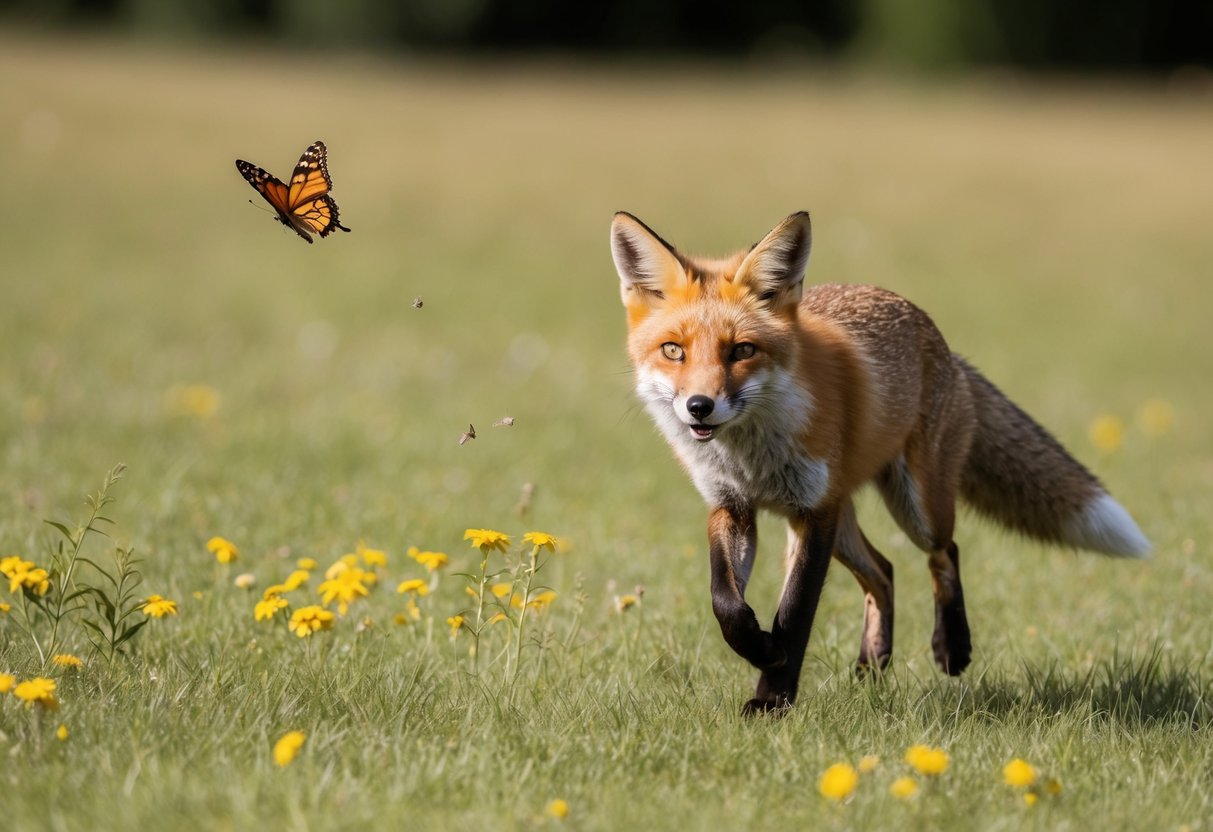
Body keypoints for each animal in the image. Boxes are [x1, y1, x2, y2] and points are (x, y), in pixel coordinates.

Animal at [609, 210, 1149, 714]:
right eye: (673, 350)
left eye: (742, 350)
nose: (699, 406)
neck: (750, 457)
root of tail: (945, 347)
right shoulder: (733, 506)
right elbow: (725, 603)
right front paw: (761, 651)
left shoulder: (815, 512)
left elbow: (795, 613)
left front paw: (773, 696)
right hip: (838, 523)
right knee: (884, 571)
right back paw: (873, 661)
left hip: (915, 508)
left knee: (944, 552)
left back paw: (952, 647)